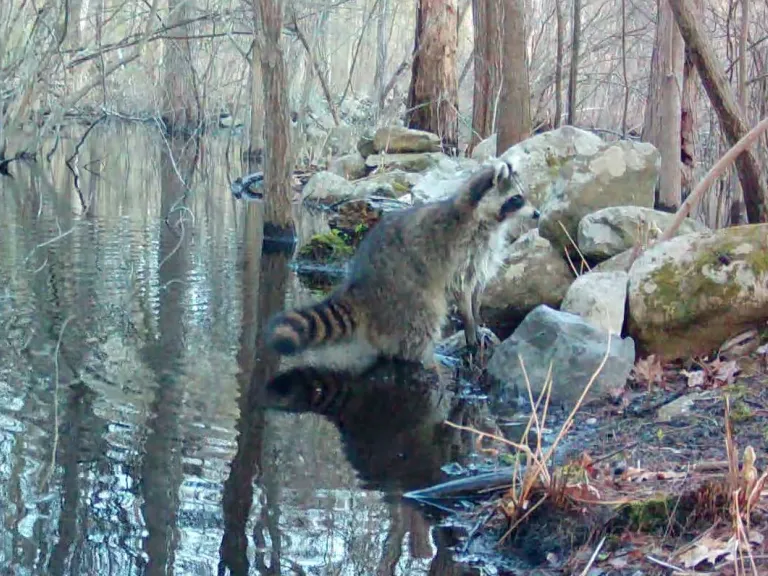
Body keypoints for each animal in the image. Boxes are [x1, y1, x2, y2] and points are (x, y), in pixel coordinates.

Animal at [266, 158, 531, 367]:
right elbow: (461, 290)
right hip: (403, 293)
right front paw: (470, 326)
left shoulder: (483, 254)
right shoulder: (460, 252)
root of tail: (359, 285)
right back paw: (420, 357)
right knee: (424, 318)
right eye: (517, 199)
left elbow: (476, 288)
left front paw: (477, 320)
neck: (488, 221)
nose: (536, 214)